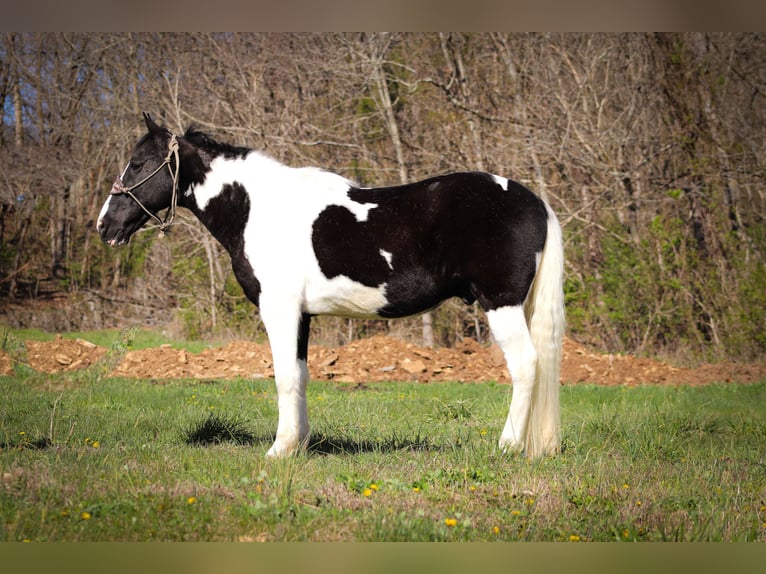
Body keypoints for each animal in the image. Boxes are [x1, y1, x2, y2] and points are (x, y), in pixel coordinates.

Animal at [99, 113, 564, 460]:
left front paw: (279, 450)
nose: (105, 225)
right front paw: (299, 444)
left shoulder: (279, 308)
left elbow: (284, 375)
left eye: (138, 163)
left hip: (500, 304)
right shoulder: (302, 315)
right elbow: (301, 375)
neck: (257, 208)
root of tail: (535, 202)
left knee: (526, 365)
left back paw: (507, 446)